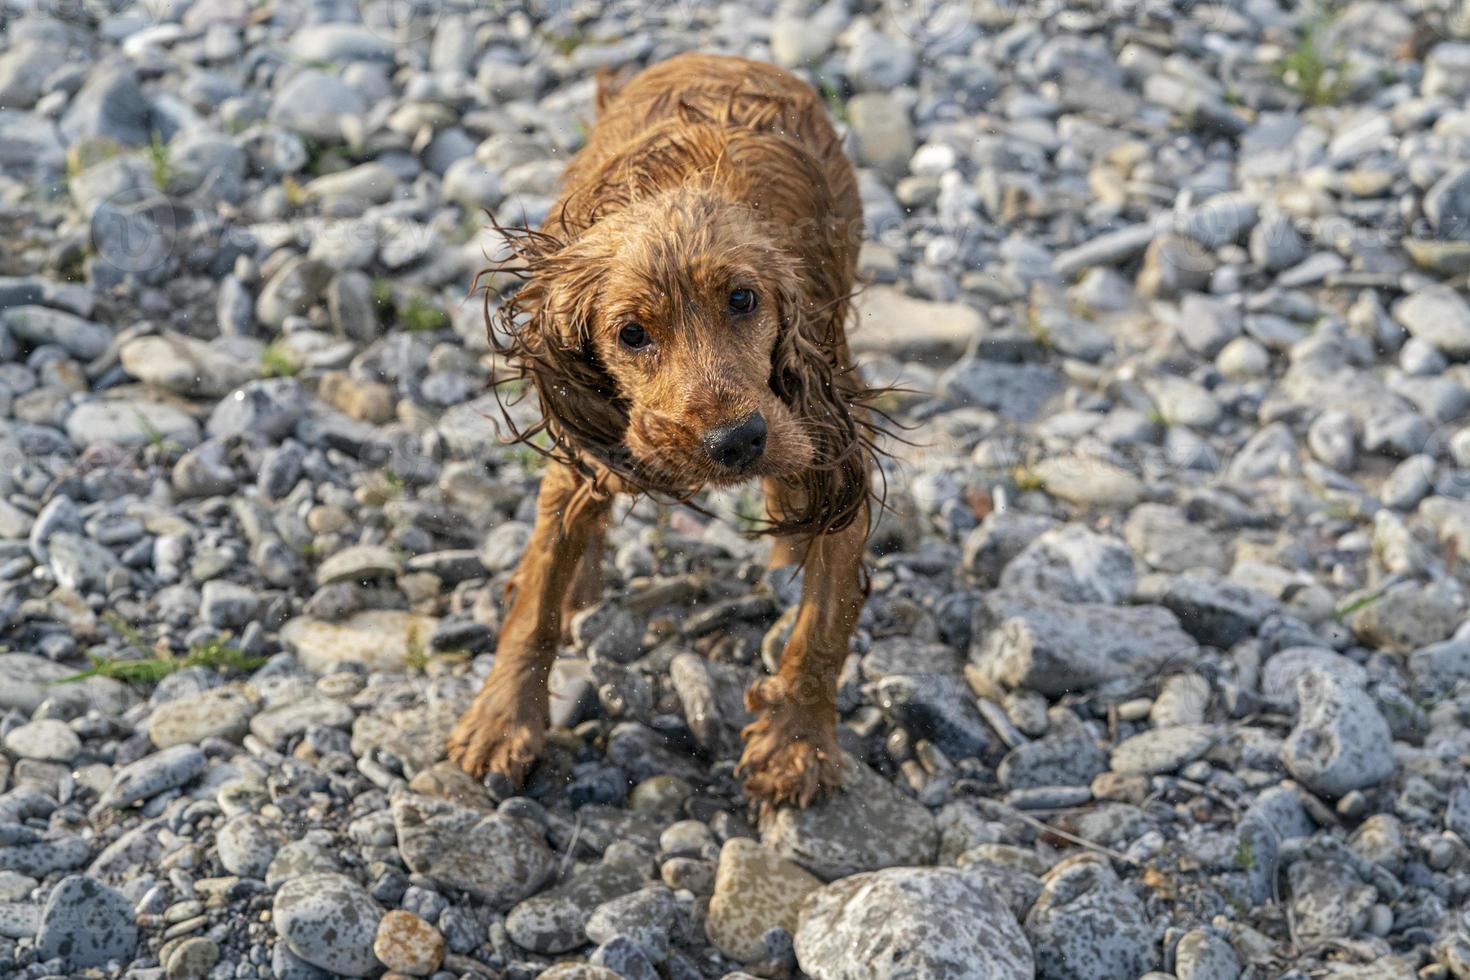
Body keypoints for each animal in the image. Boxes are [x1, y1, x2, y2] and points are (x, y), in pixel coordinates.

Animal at [446, 49, 876, 811]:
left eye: (743, 299)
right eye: (631, 334)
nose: (736, 443)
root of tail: (722, 52)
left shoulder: (832, 432)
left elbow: (824, 623)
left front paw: (796, 744)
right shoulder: (598, 448)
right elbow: (538, 598)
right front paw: (502, 722)